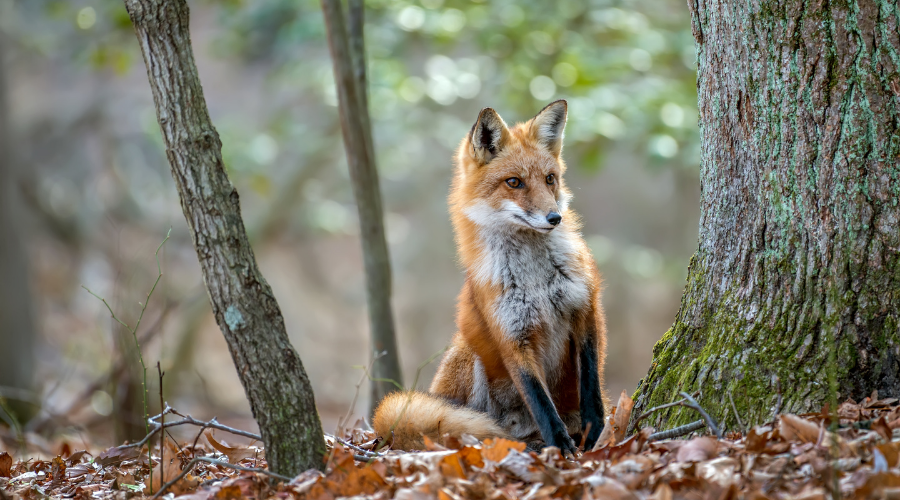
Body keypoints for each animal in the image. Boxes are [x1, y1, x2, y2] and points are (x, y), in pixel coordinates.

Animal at [373, 100, 608, 455]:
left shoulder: (585, 311)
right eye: (514, 182)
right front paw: (561, 446)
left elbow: (591, 381)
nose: (555, 217)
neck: (536, 279)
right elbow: (539, 399)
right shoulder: (512, 334)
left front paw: (592, 429)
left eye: (550, 179)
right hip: (469, 351)